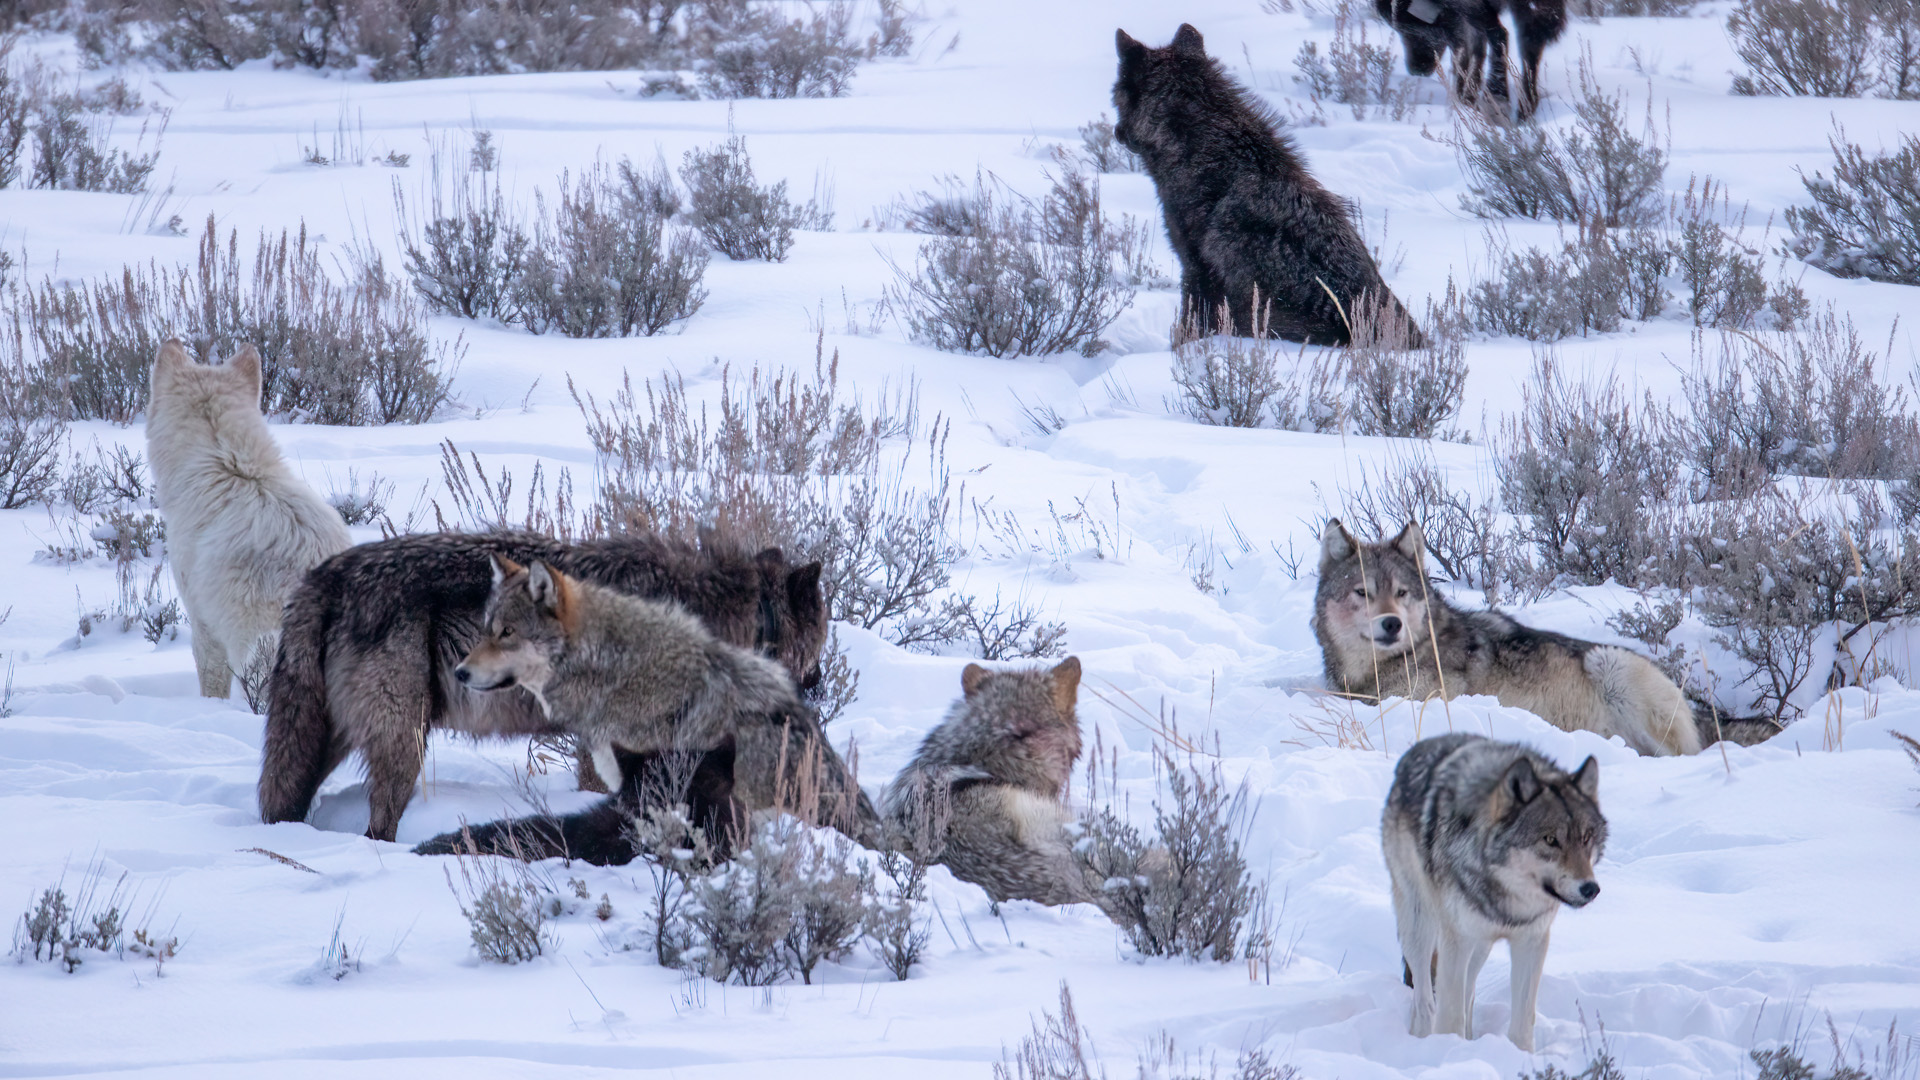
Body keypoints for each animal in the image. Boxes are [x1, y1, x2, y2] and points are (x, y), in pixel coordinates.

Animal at [258, 530, 827, 843]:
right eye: (821, 643)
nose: (819, 686)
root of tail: (322, 579)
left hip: (326, 741)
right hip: (404, 743)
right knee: (378, 828)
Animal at [1374, 0, 1567, 120]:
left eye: (1411, 30)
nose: (1416, 69)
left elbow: (1494, 36)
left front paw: (1494, 98)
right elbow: (1479, 48)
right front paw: (1467, 96)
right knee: (1529, 41)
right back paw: (1525, 107)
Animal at [1383, 733, 1606, 1050]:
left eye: (1586, 837)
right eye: (1550, 840)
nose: (1590, 888)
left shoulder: (1531, 941)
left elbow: (1522, 1021)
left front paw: (1520, 1056)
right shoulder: (1456, 941)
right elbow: (1449, 1013)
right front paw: (1448, 1050)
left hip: (1480, 947)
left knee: (1469, 994)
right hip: (1421, 927)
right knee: (1424, 998)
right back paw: (1422, 1040)